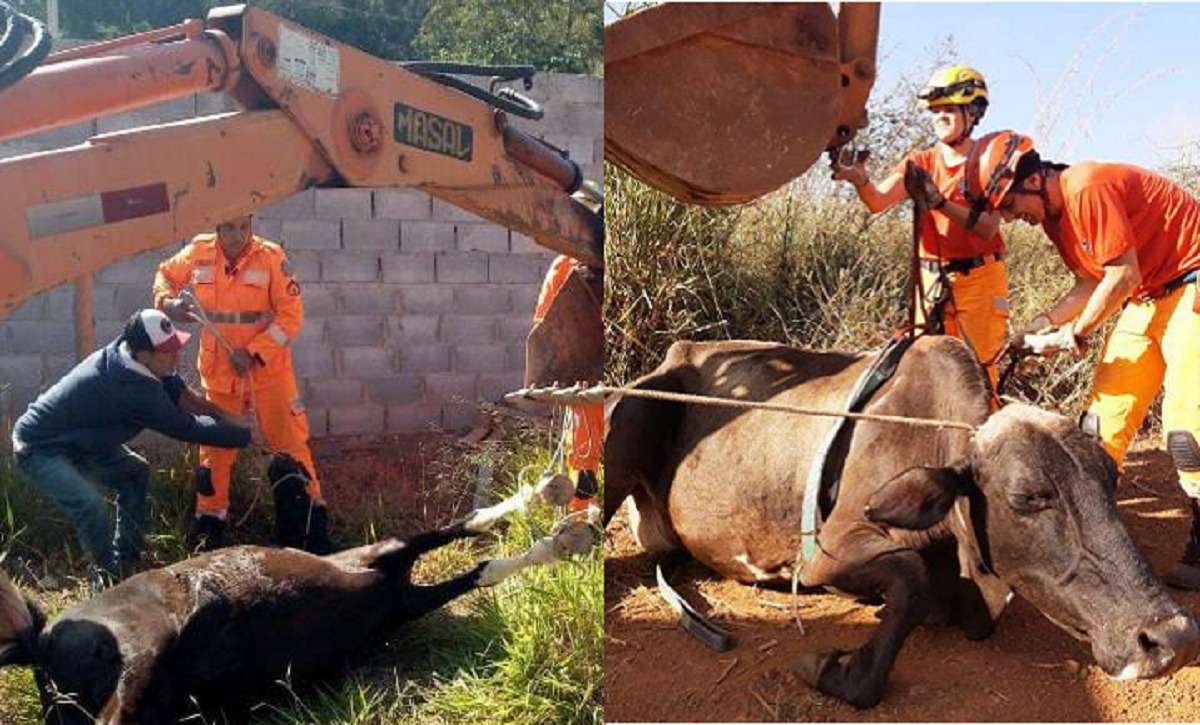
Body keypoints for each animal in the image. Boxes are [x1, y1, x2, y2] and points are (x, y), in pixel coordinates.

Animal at [0, 456, 592, 720]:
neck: (378, 587)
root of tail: (41, 645)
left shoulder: (401, 597)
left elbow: (481, 564)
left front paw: (564, 529)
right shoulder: (381, 555)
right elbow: (465, 527)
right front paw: (555, 508)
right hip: (141, 652)